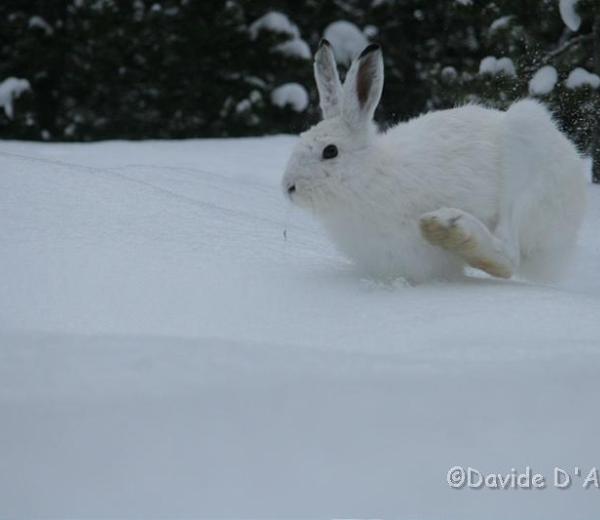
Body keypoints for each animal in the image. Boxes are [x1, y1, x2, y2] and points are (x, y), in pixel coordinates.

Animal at [282, 40, 587, 283]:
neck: (370, 175)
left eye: (330, 151)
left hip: (525, 159)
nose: (288, 187)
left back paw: (448, 228)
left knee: (510, 254)